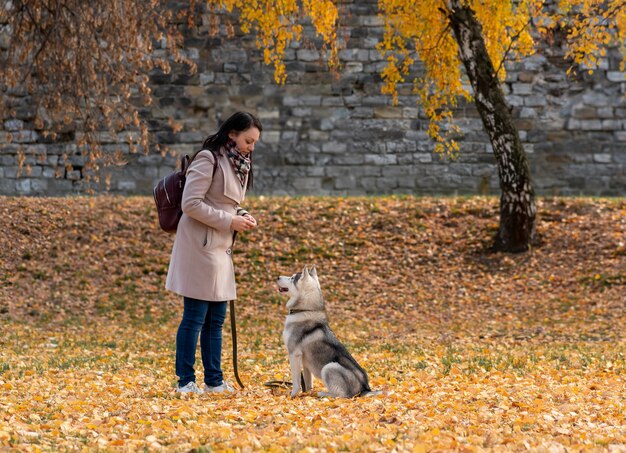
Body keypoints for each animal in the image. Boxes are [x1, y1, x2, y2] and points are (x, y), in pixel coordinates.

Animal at [278, 264, 376, 396]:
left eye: (292, 278)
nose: (277, 277)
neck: (304, 310)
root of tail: (365, 389)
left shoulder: (294, 354)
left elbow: (296, 381)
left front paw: (293, 395)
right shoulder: (304, 360)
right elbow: (308, 382)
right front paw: (306, 394)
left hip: (329, 367)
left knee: (341, 396)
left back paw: (324, 394)